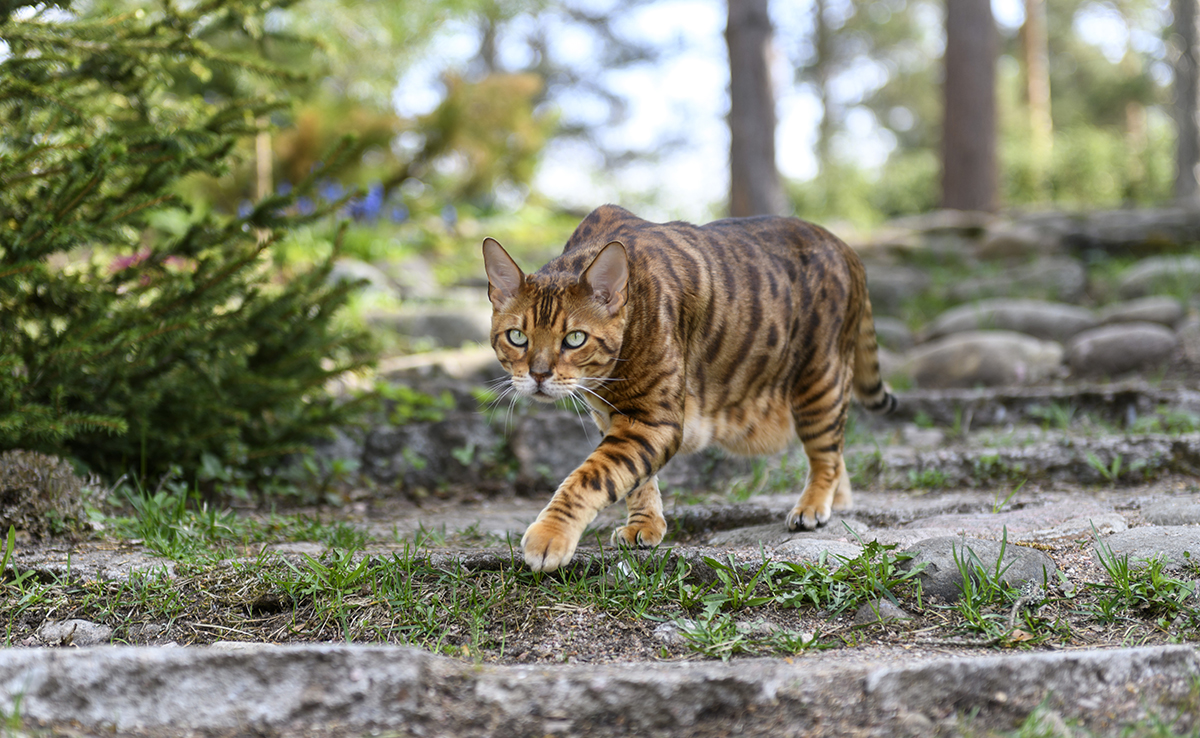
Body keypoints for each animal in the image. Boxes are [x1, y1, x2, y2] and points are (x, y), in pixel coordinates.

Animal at [482, 204, 897, 571]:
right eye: (517, 337)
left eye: (574, 339)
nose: (538, 374)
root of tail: (844, 246)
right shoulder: (613, 416)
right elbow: (635, 479)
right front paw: (644, 525)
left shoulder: (653, 420)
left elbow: (592, 476)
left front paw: (549, 535)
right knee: (835, 452)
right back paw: (837, 501)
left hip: (819, 380)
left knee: (826, 452)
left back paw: (812, 506)